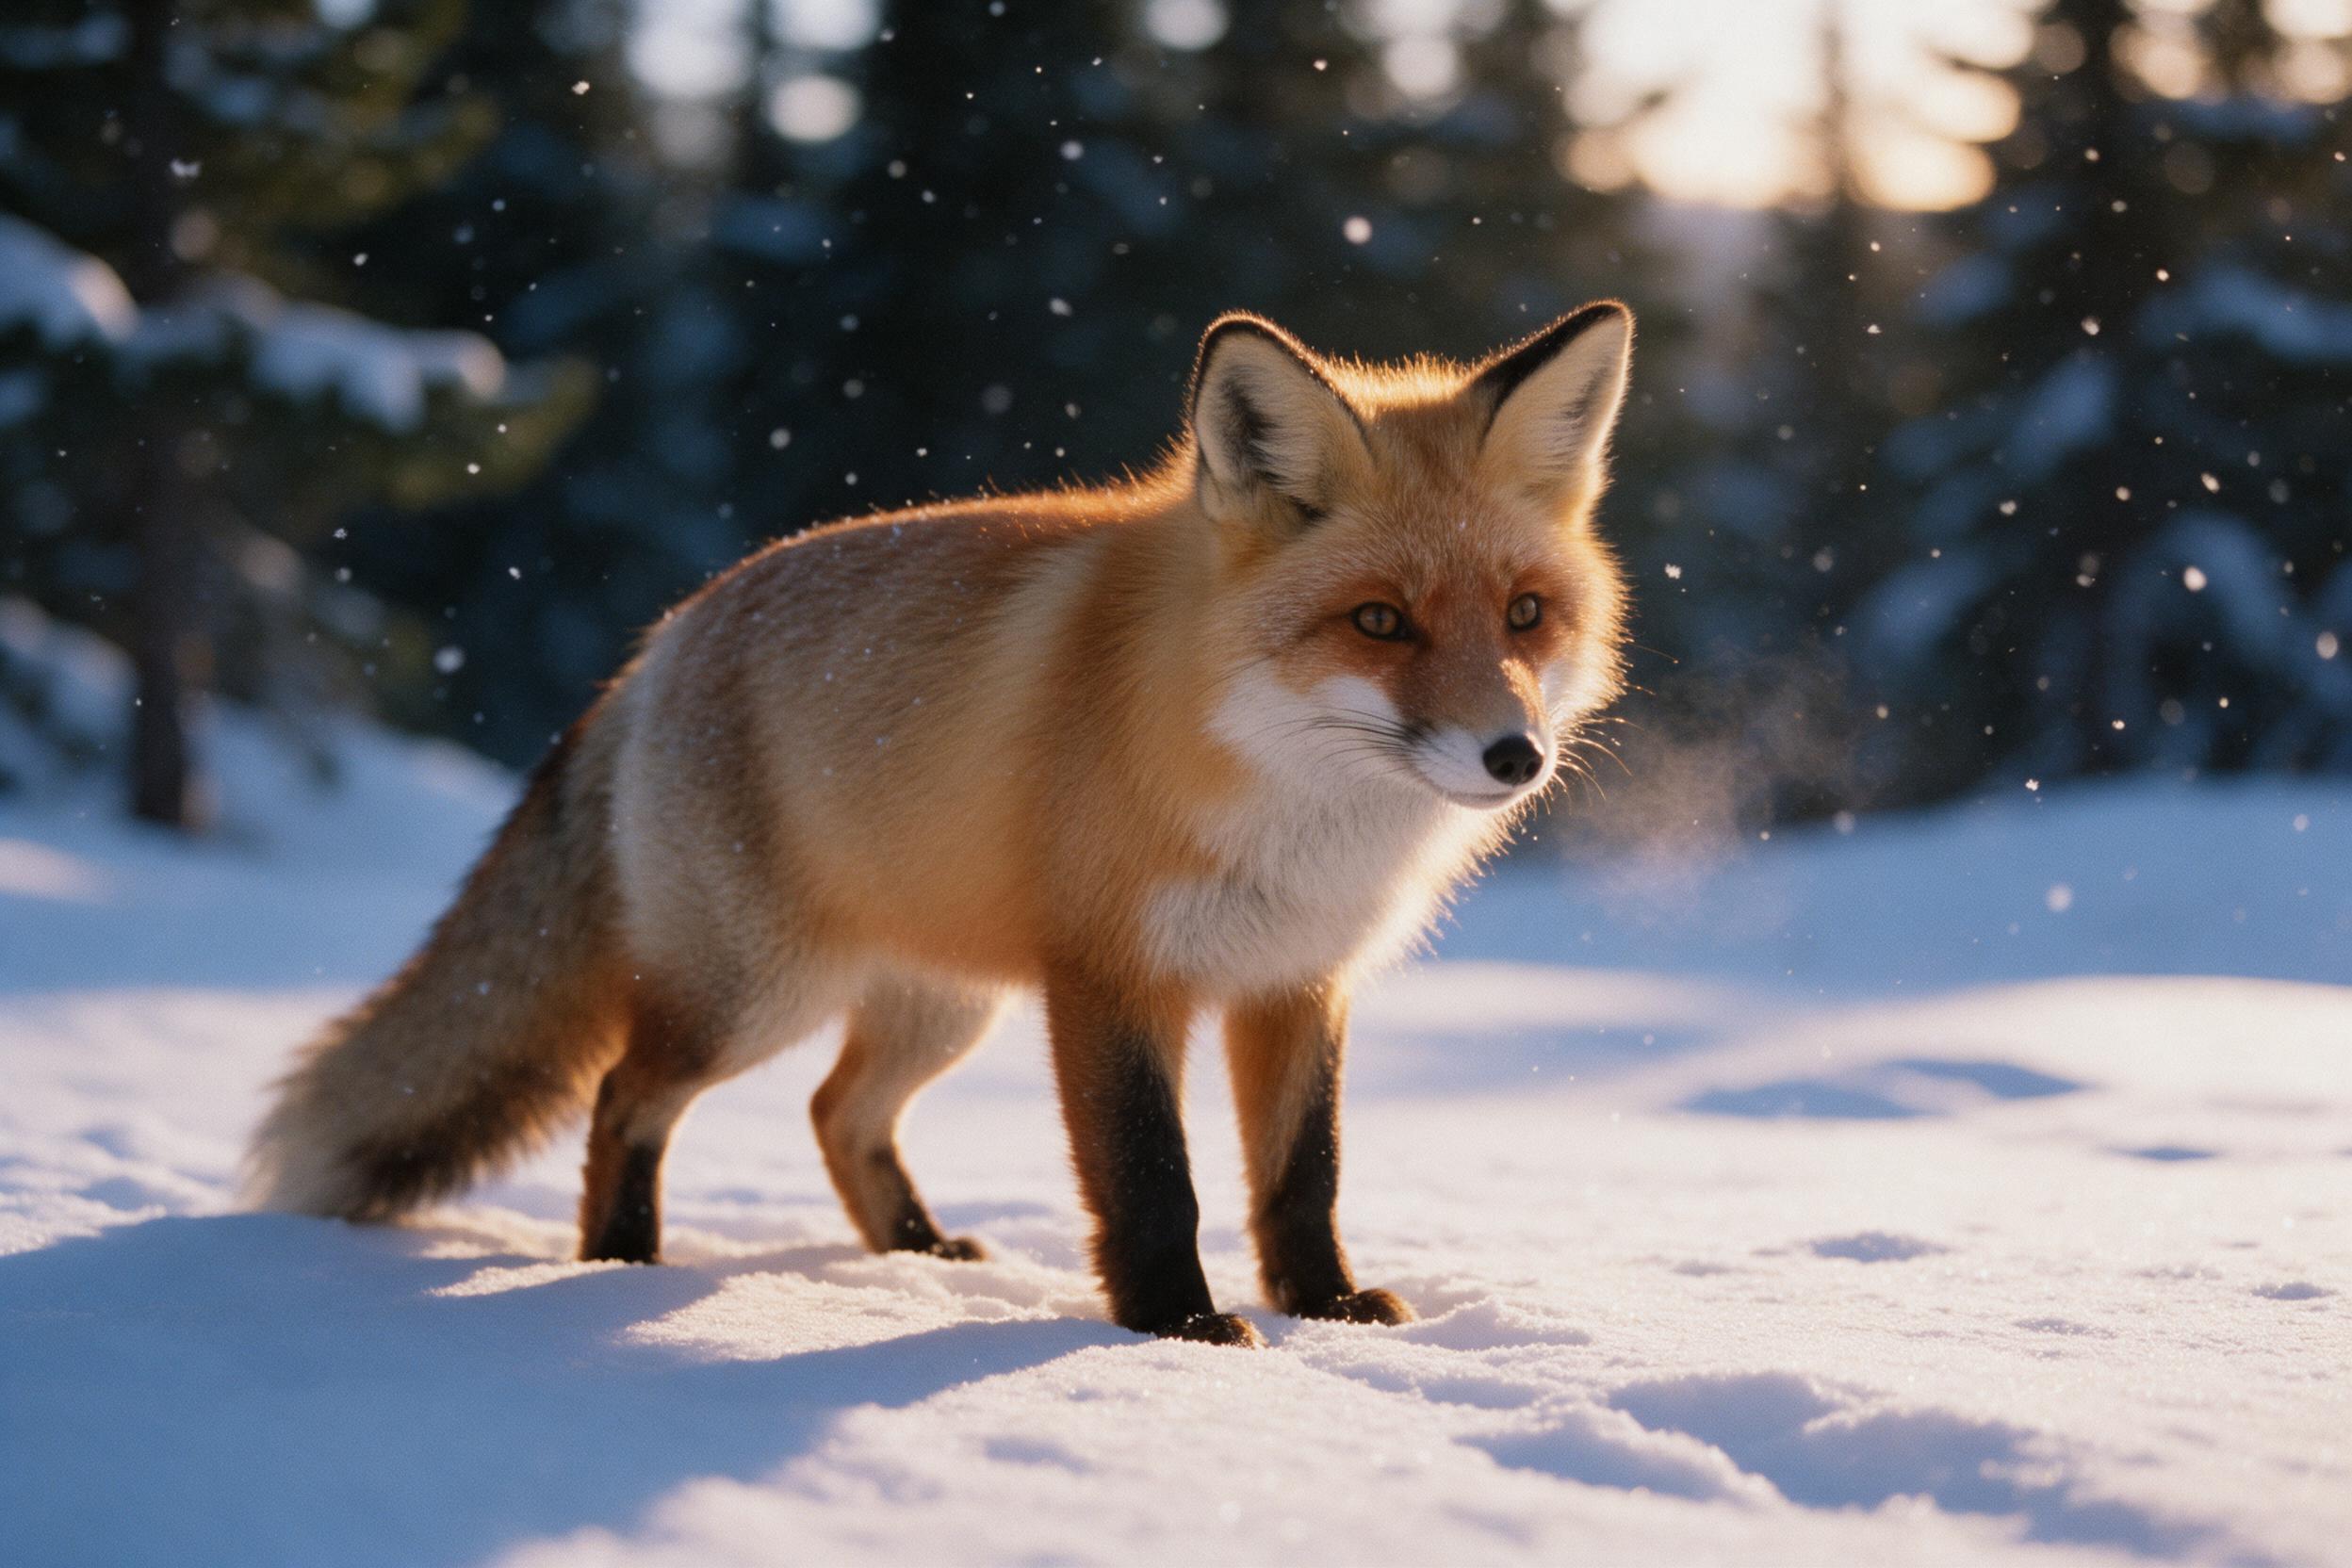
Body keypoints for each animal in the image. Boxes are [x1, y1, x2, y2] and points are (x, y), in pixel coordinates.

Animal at [246, 302, 1635, 1346]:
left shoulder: (1298, 982)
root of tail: (659, 642)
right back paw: (619, 1265)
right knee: (624, 1096)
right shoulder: (1112, 979)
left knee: (835, 1111)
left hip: (941, 1001)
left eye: (1524, 613)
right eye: (1381, 622)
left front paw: (1327, 1308)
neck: (1281, 796)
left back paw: (916, 1254)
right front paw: (1177, 1331)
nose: (1515, 755)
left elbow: (1304, 1176)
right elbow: (1153, 1181)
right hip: (757, 992)